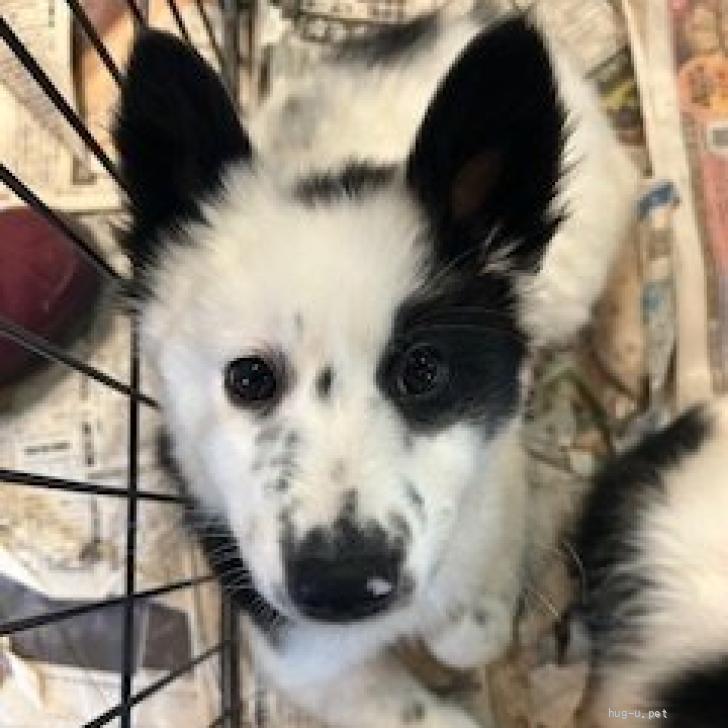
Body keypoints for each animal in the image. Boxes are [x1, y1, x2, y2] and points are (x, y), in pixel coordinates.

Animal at [115, 9, 636, 727]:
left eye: (424, 370)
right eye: (247, 379)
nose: (343, 586)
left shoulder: (495, 480)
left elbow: (473, 626)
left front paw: (463, 636)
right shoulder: (296, 654)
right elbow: (410, 705)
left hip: (576, 265)